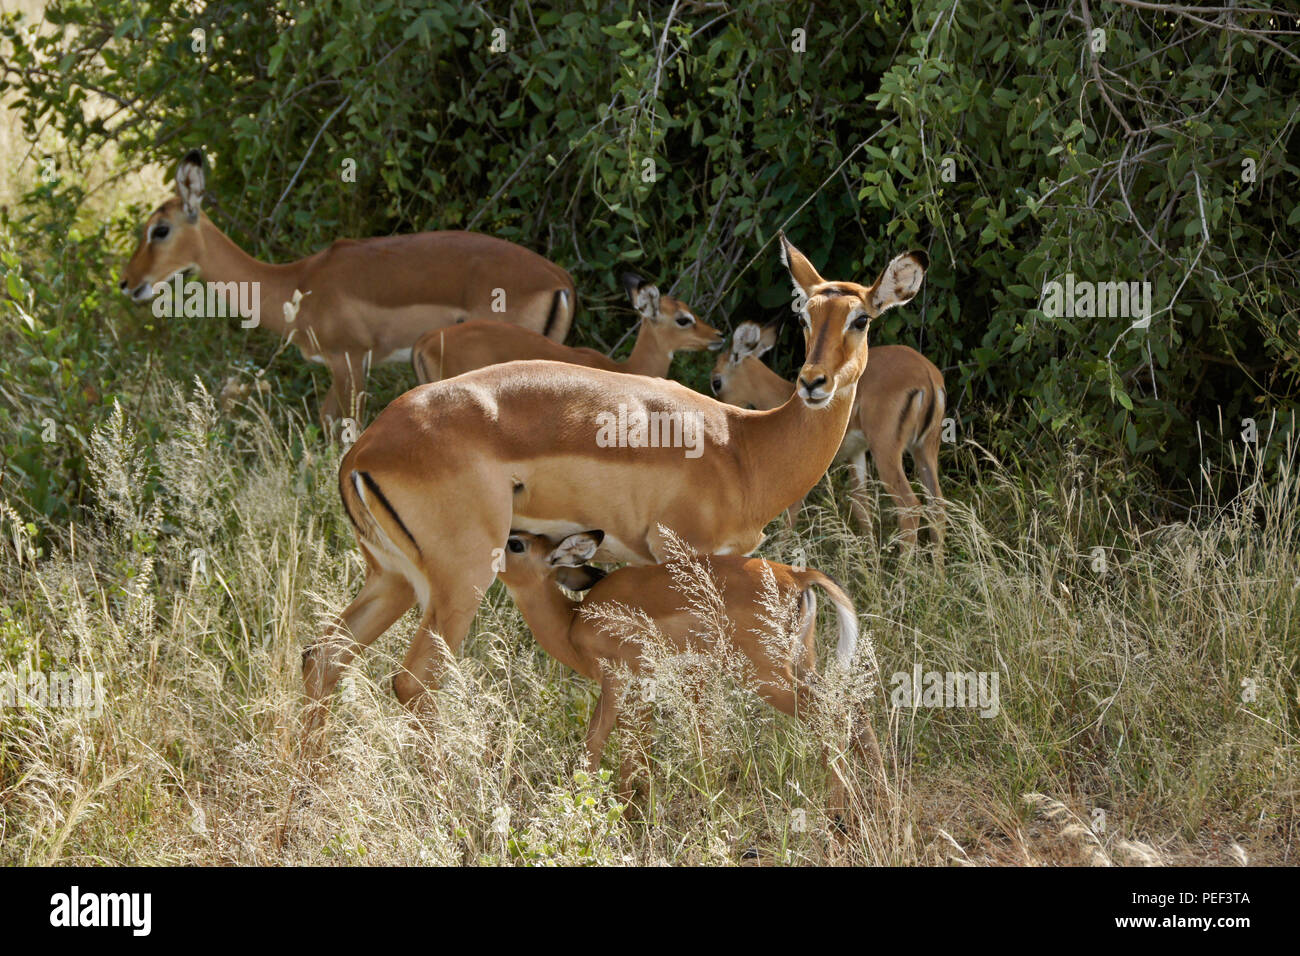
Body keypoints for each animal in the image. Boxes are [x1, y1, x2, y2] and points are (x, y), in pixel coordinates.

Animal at [493, 530, 883, 816]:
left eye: (517, 543)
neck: (573, 621)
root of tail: (797, 575)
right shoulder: (643, 687)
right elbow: (639, 747)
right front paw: (636, 810)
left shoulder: (617, 680)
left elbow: (599, 742)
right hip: (802, 663)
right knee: (854, 707)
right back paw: (878, 798)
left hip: (766, 675)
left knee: (829, 712)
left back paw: (837, 815)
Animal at [712, 317, 946, 554]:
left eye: (717, 381)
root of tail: (927, 374)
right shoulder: (856, 454)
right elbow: (862, 509)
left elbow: (790, 514)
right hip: (924, 449)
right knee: (937, 506)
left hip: (887, 451)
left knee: (911, 507)